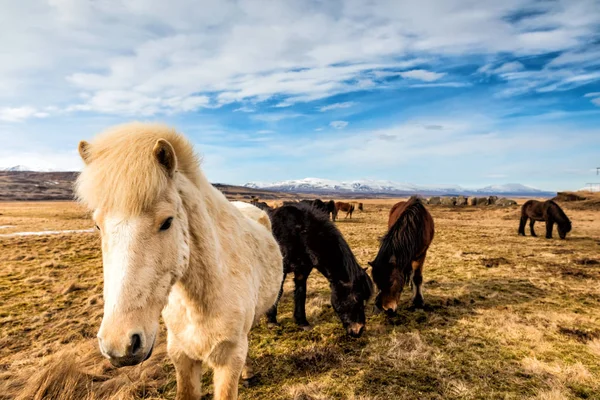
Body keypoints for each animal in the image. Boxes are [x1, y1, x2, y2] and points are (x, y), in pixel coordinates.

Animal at [74, 122, 284, 400]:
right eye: (98, 226)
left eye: (167, 222)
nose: (120, 345)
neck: (199, 302)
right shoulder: (181, 355)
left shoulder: (229, 359)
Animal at [266, 203, 370, 338]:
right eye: (357, 298)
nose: (359, 330)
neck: (298, 234)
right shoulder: (280, 271)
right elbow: (278, 292)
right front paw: (272, 321)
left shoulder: (302, 272)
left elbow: (301, 294)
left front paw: (302, 322)